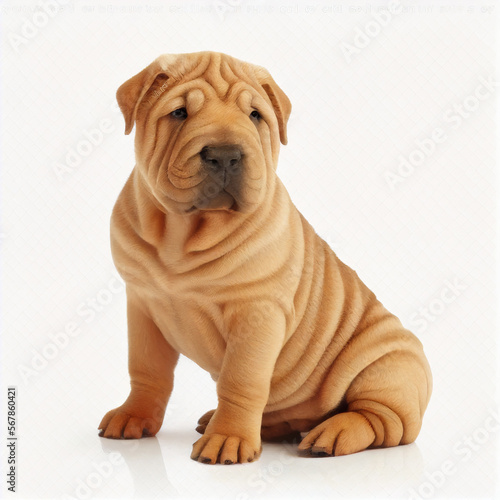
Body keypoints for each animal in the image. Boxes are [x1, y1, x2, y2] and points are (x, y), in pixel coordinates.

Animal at [97, 51, 430, 464]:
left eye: (255, 115)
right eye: (179, 113)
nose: (225, 155)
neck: (183, 235)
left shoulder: (257, 312)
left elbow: (241, 380)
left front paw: (229, 439)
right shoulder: (143, 304)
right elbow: (146, 369)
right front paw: (134, 415)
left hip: (388, 364)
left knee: (383, 422)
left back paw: (331, 433)